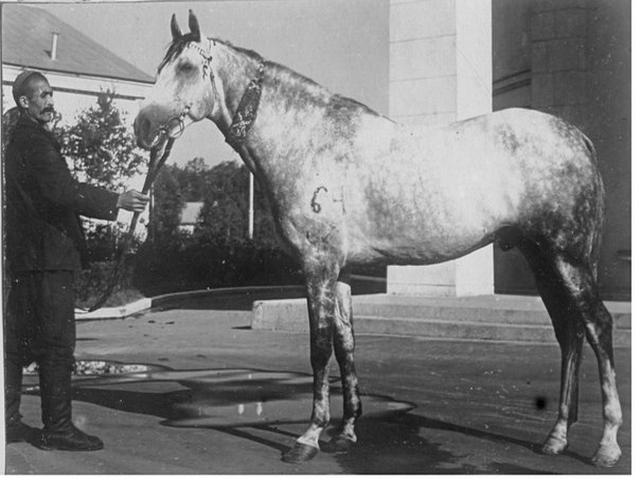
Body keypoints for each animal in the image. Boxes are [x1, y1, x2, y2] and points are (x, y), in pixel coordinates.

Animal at [134, 11, 622, 468]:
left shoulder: (317, 266)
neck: (308, 140)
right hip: (543, 258)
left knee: (597, 325)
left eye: (187, 67)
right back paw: (555, 437)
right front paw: (345, 432)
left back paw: (607, 445)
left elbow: (318, 349)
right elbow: (346, 345)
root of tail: (577, 136)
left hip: (568, 257)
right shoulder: (341, 273)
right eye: (161, 66)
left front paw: (308, 438)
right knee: (569, 332)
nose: (142, 126)